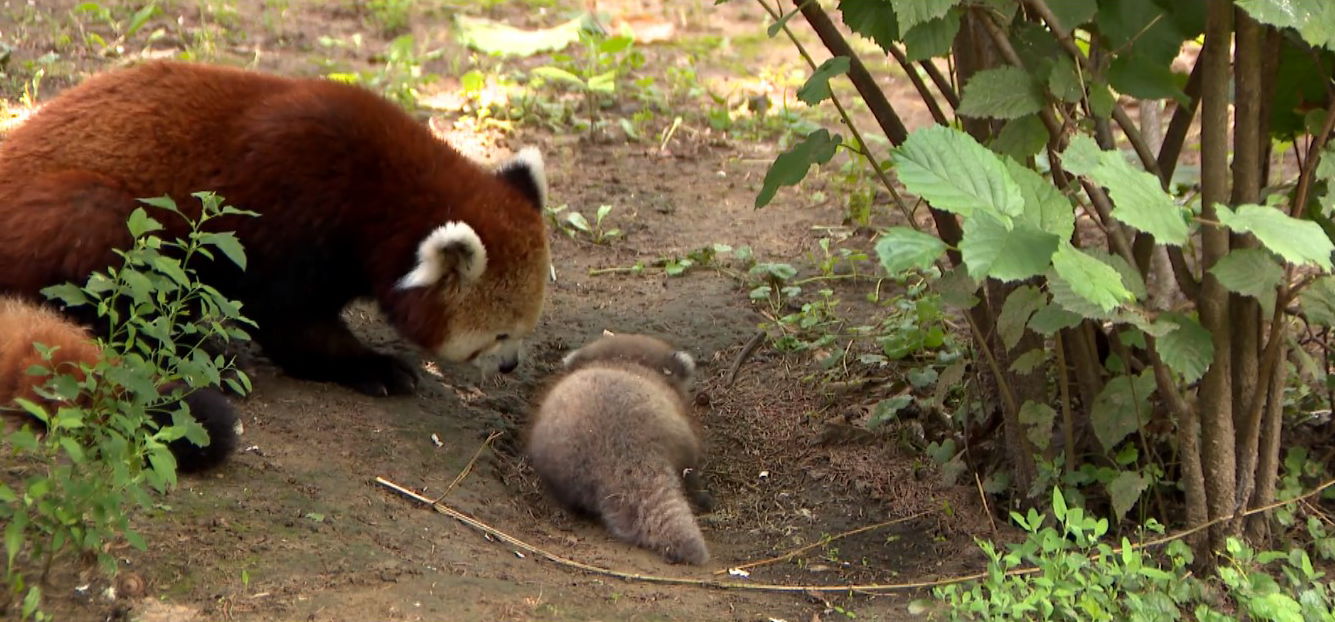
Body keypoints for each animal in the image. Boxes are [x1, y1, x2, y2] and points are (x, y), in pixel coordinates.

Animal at [0, 60, 547, 395]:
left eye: (524, 332)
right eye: (500, 335)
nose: (512, 365)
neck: (384, 192)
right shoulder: (296, 212)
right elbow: (291, 321)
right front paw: (372, 366)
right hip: (87, 213)